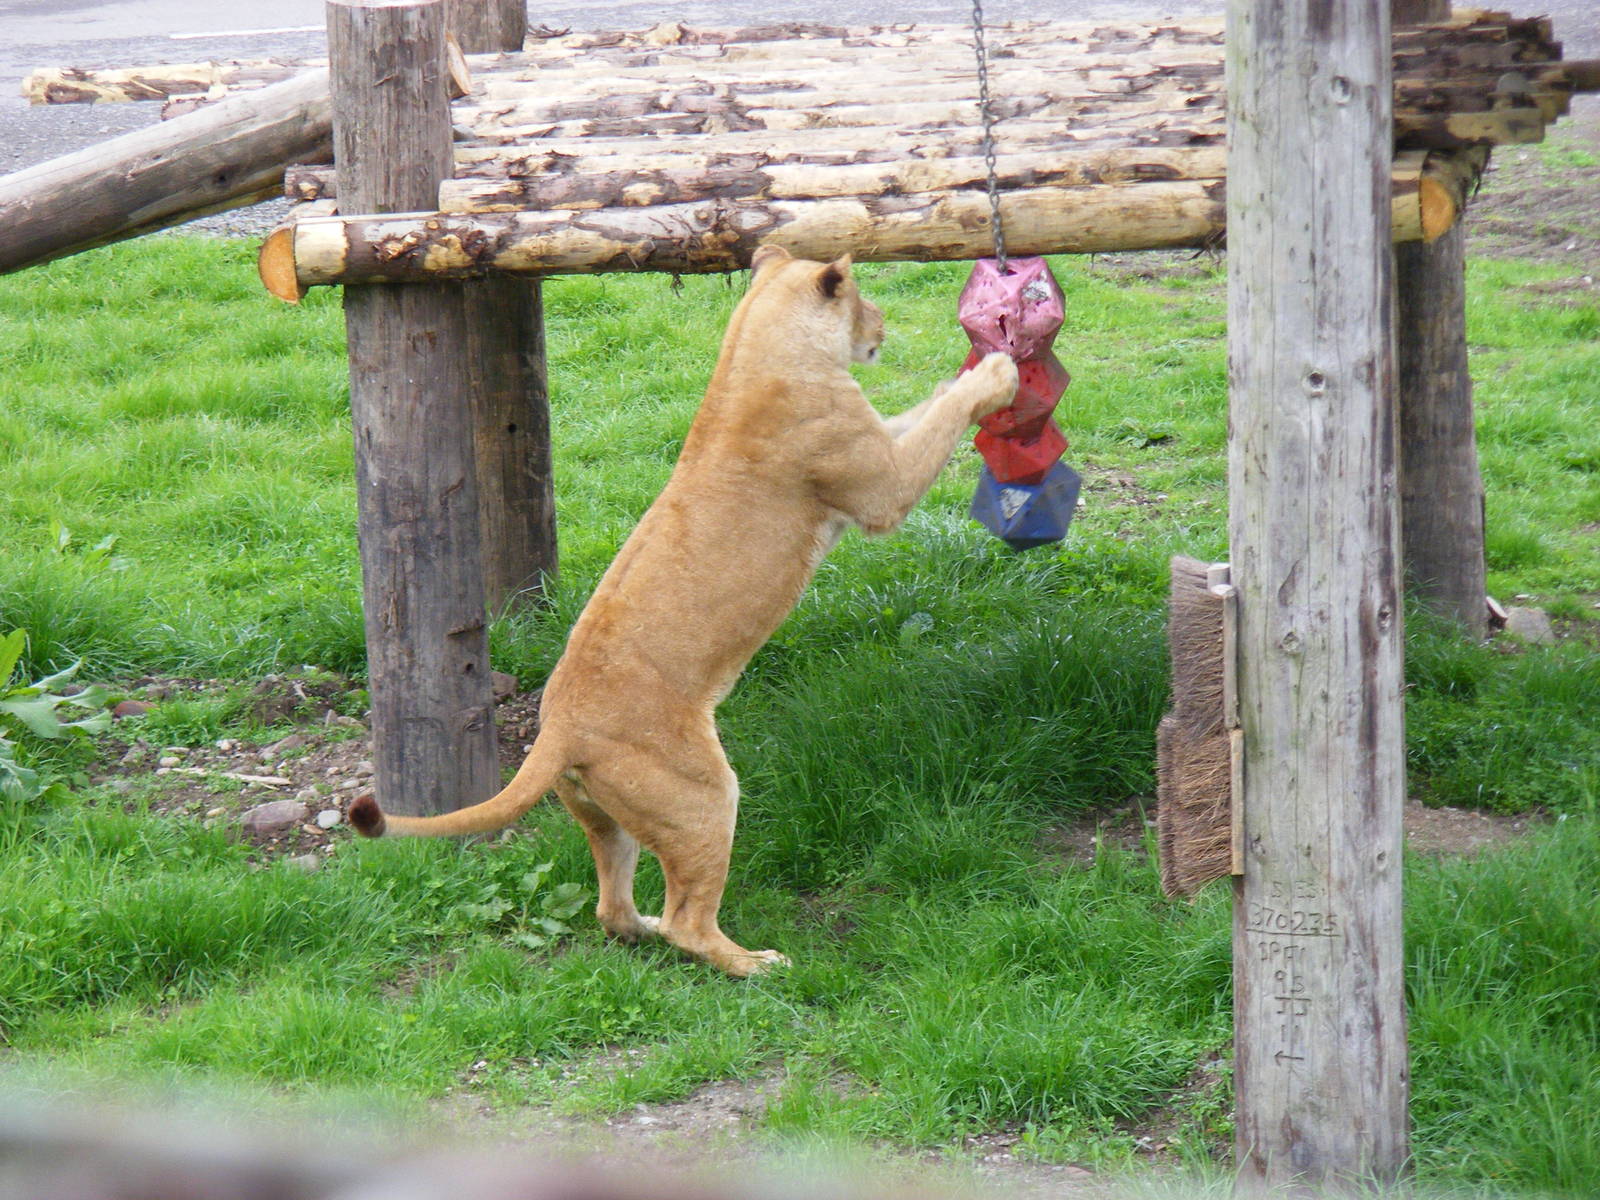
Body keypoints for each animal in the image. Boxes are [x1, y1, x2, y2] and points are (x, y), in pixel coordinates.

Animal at [348, 246, 1019, 977]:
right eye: (862, 298)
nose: (883, 326)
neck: (755, 342)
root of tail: (560, 727)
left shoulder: (880, 445)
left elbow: (923, 410)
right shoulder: (880, 489)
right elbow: (938, 424)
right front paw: (996, 373)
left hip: (606, 815)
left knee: (612, 910)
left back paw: (639, 925)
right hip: (701, 795)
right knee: (689, 922)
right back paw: (754, 963)